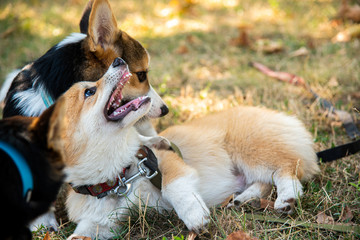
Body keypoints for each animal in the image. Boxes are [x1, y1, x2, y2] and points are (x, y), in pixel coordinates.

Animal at [59, 58, 320, 240]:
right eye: (89, 92)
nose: (118, 60)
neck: (118, 178)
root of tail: (282, 117)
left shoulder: (168, 165)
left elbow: (174, 188)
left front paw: (195, 217)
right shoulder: (100, 222)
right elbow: (82, 232)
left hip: (251, 152)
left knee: (286, 169)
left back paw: (286, 197)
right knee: (265, 182)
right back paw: (243, 199)